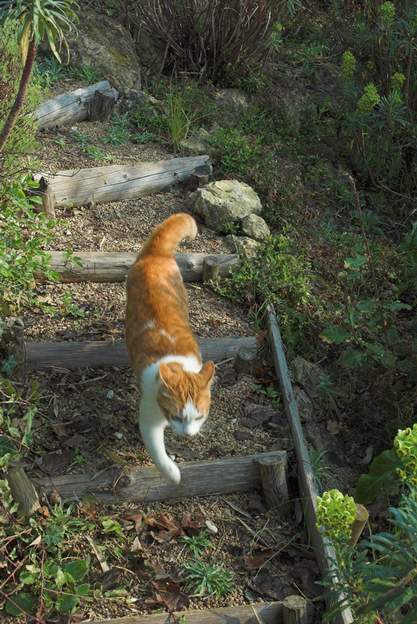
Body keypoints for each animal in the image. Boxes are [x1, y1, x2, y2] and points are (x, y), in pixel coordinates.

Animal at [124, 213, 214, 482]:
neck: (176, 363)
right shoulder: (149, 417)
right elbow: (158, 452)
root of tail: (158, 254)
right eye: (177, 416)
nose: (188, 434)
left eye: (199, 416)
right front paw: (173, 473)